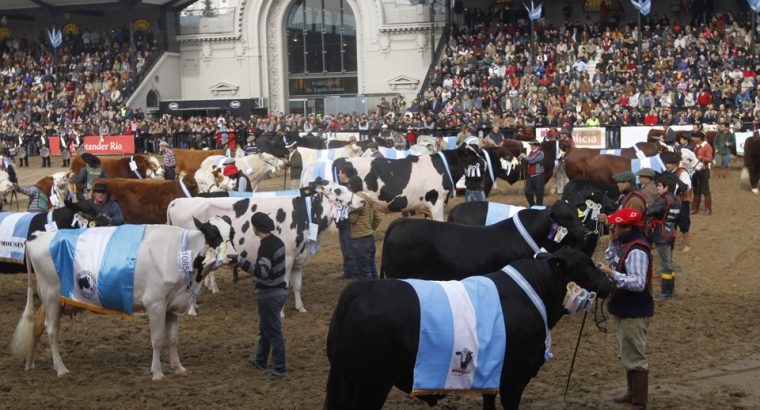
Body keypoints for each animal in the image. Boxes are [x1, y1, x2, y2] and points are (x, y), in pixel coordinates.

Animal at [11, 218, 238, 382]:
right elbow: (157, 339)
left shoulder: (173, 307)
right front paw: (157, 372)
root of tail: (37, 236)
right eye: (213, 233)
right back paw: (60, 368)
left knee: (37, 326)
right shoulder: (155, 304)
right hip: (51, 296)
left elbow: (173, 339)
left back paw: (29, 364)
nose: (234, 257)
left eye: (233, 233)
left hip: (50, 299)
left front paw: (179, 368)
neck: (179, 253)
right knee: (51, 330)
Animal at [166, 181, 366, 312]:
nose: (362, 201)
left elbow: (298, 285)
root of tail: (177, 201)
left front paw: (300, 308)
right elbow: (284, 285)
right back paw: (192, 309)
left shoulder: (299, 258)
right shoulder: (287, 257)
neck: (305, 214)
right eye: (338, 190)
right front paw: (281, 312)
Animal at [326, 247, 612, 410]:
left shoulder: (493, 375)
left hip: (343, 378)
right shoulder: (515, 378)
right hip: (372, 385)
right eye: (585, 265)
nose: (609, 283)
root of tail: (362, 288)